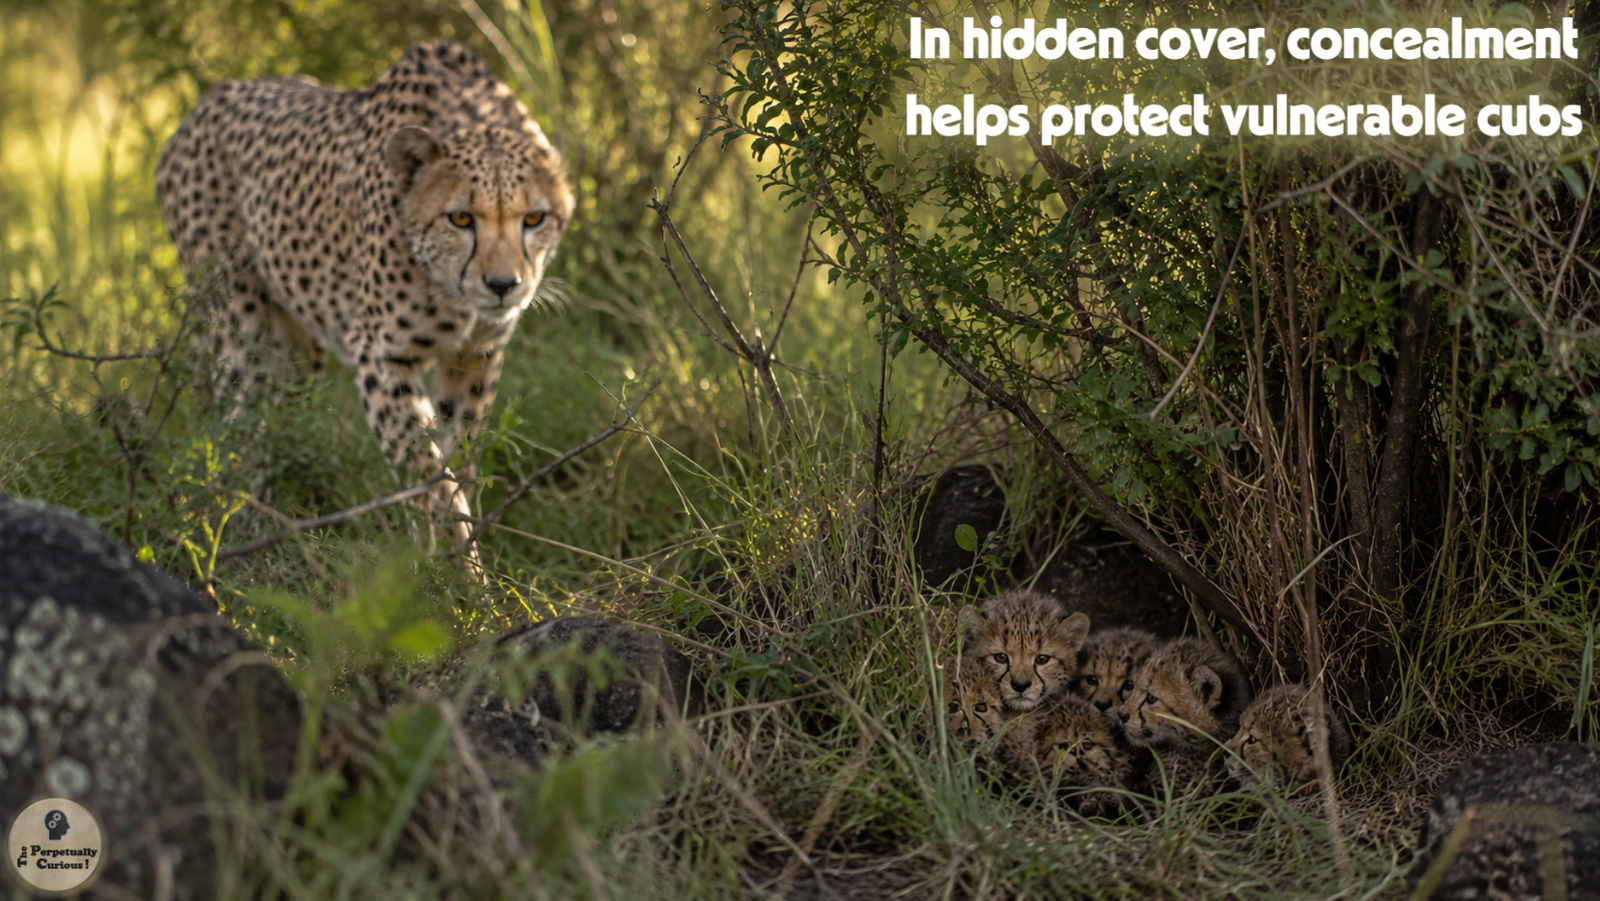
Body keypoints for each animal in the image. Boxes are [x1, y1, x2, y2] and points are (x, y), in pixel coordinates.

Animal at [155, 42, 574, 544]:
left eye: (534, 219)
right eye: (460, 218)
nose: (502, 286)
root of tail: (203, 102)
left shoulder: (476, 356)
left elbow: (459, 455)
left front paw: (458, 542)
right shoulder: (379, 353)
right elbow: (426, 469)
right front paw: (444, 556)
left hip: (298, 353)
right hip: (239, 327)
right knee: (240, 424)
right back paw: (243, 529)